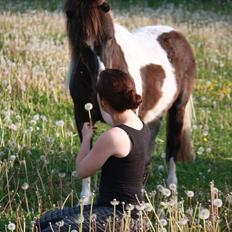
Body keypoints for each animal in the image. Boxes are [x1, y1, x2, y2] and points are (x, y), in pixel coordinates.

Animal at [64, 0, 196, 203]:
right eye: (81, 44)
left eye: (109, 38)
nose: (102, 78)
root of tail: (177, 35)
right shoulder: (82, 116)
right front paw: (84, 200)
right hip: (153, 113)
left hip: (178, 108)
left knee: (172, 150)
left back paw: (171, 191)